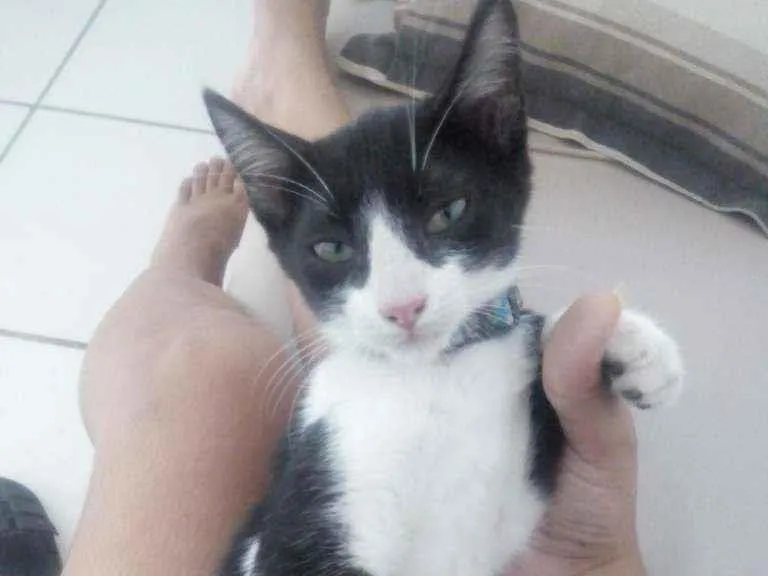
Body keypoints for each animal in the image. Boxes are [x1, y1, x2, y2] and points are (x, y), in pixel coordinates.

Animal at [204, 1, 684, 575]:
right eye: (332, 249)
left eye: (448, 212)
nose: (404, 307)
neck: (433, 376)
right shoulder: (302, 500)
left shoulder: (517, 507)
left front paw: (628, 343)